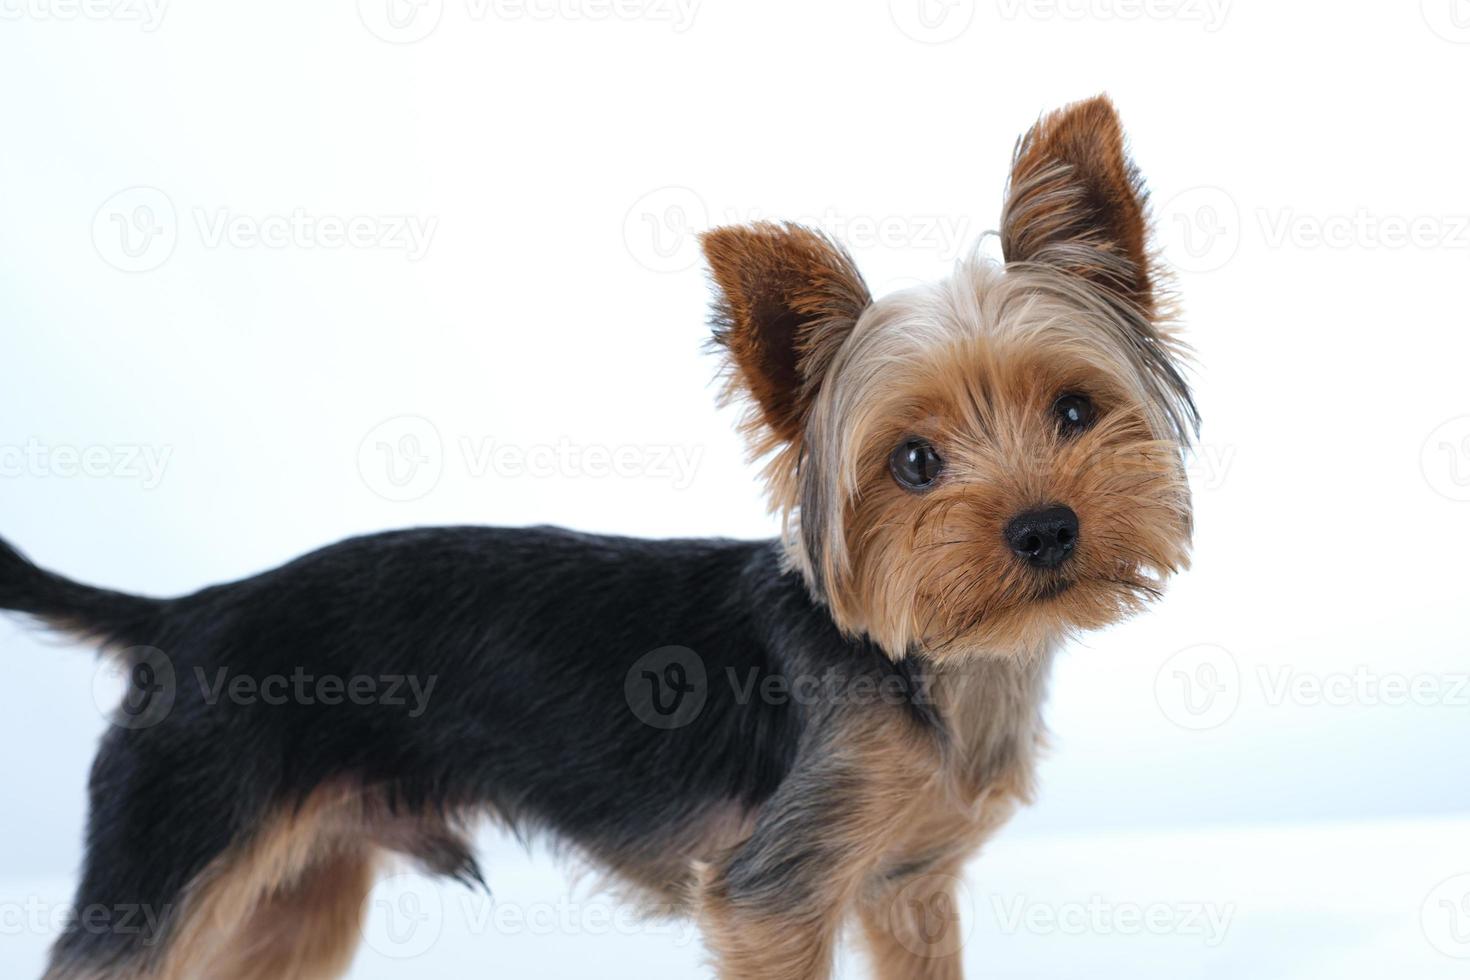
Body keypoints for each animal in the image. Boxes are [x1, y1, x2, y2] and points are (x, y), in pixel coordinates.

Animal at [8, 94, 1193, 980]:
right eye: (913, 464)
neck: (934, 665)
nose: (1045, 528)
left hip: (298, 885)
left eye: (1076, 411)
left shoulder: (907, 891)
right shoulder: (775, 894)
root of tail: (182, 613)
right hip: (170, 849)